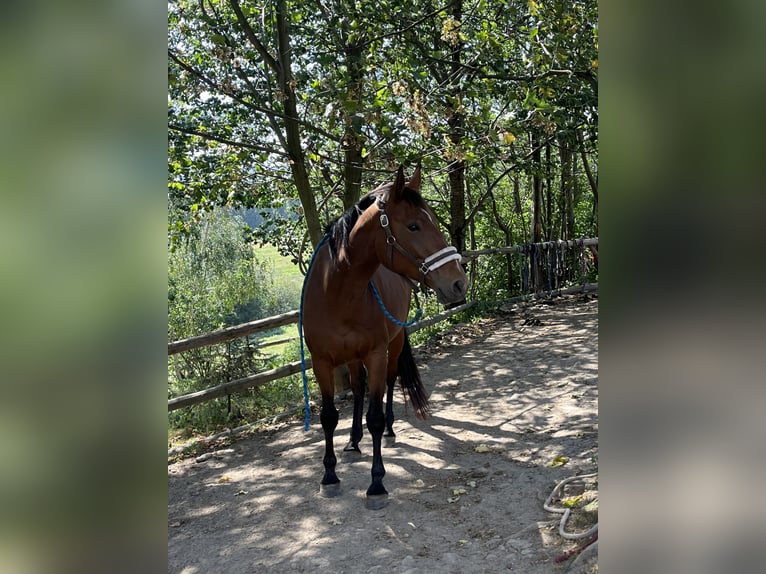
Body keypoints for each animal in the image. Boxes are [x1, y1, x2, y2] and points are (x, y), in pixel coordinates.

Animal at [301, 164, 469, 509]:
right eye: (414, 226)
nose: (459, 282)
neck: (337, 294)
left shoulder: (377, 354)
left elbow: (375, 416)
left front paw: (377, 483)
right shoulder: (321, 361)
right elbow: (328, 417)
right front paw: (329, 476)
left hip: (394, 343)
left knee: (390, 383)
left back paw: (390, 430)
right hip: (351, 357)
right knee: (357, 388)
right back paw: (353, 442)